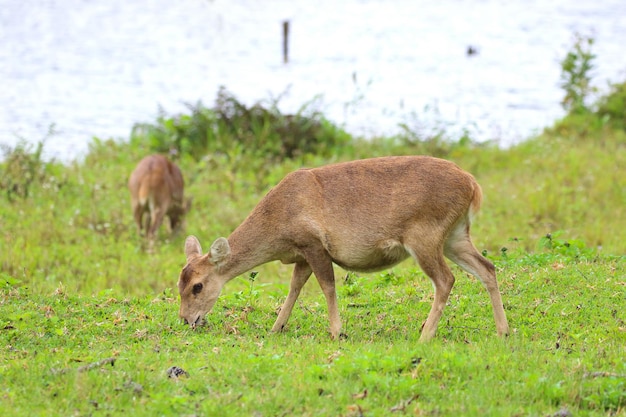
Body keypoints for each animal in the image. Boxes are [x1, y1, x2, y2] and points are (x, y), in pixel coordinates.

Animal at [176, 154, 508, 340]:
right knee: (487, 268)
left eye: (197, 286)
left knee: (446, 279)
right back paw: (503, 331)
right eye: (179, 285)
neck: (277, 226)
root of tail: (473, 185)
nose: (186, 319)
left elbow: (327, 286)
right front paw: (276, 328)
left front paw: (337, 332)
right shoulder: (301, 253)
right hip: (455, 235)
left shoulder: (313, 243)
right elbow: (295, 288)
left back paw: (425, 335)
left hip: (424, 234)